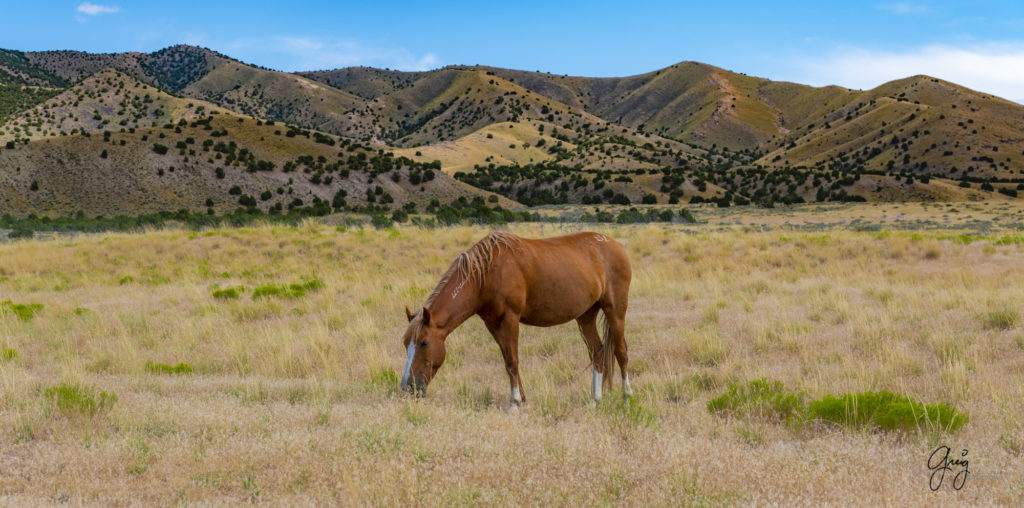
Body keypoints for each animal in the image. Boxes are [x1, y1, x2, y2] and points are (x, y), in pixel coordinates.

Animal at [399, 230, 630, 409]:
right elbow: (508, 360)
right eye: (405, 343)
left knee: (621, 352)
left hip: (615, 311)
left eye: (424, 343)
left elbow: (512, 361)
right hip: (585, 316)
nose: (407, 387)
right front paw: (521, 399)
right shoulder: (492, 323)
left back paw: (627, 398)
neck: (485, 274)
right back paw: (595, 400)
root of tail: (616, 245)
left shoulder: (511, 318)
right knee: (597, 352)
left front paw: (514, 403)